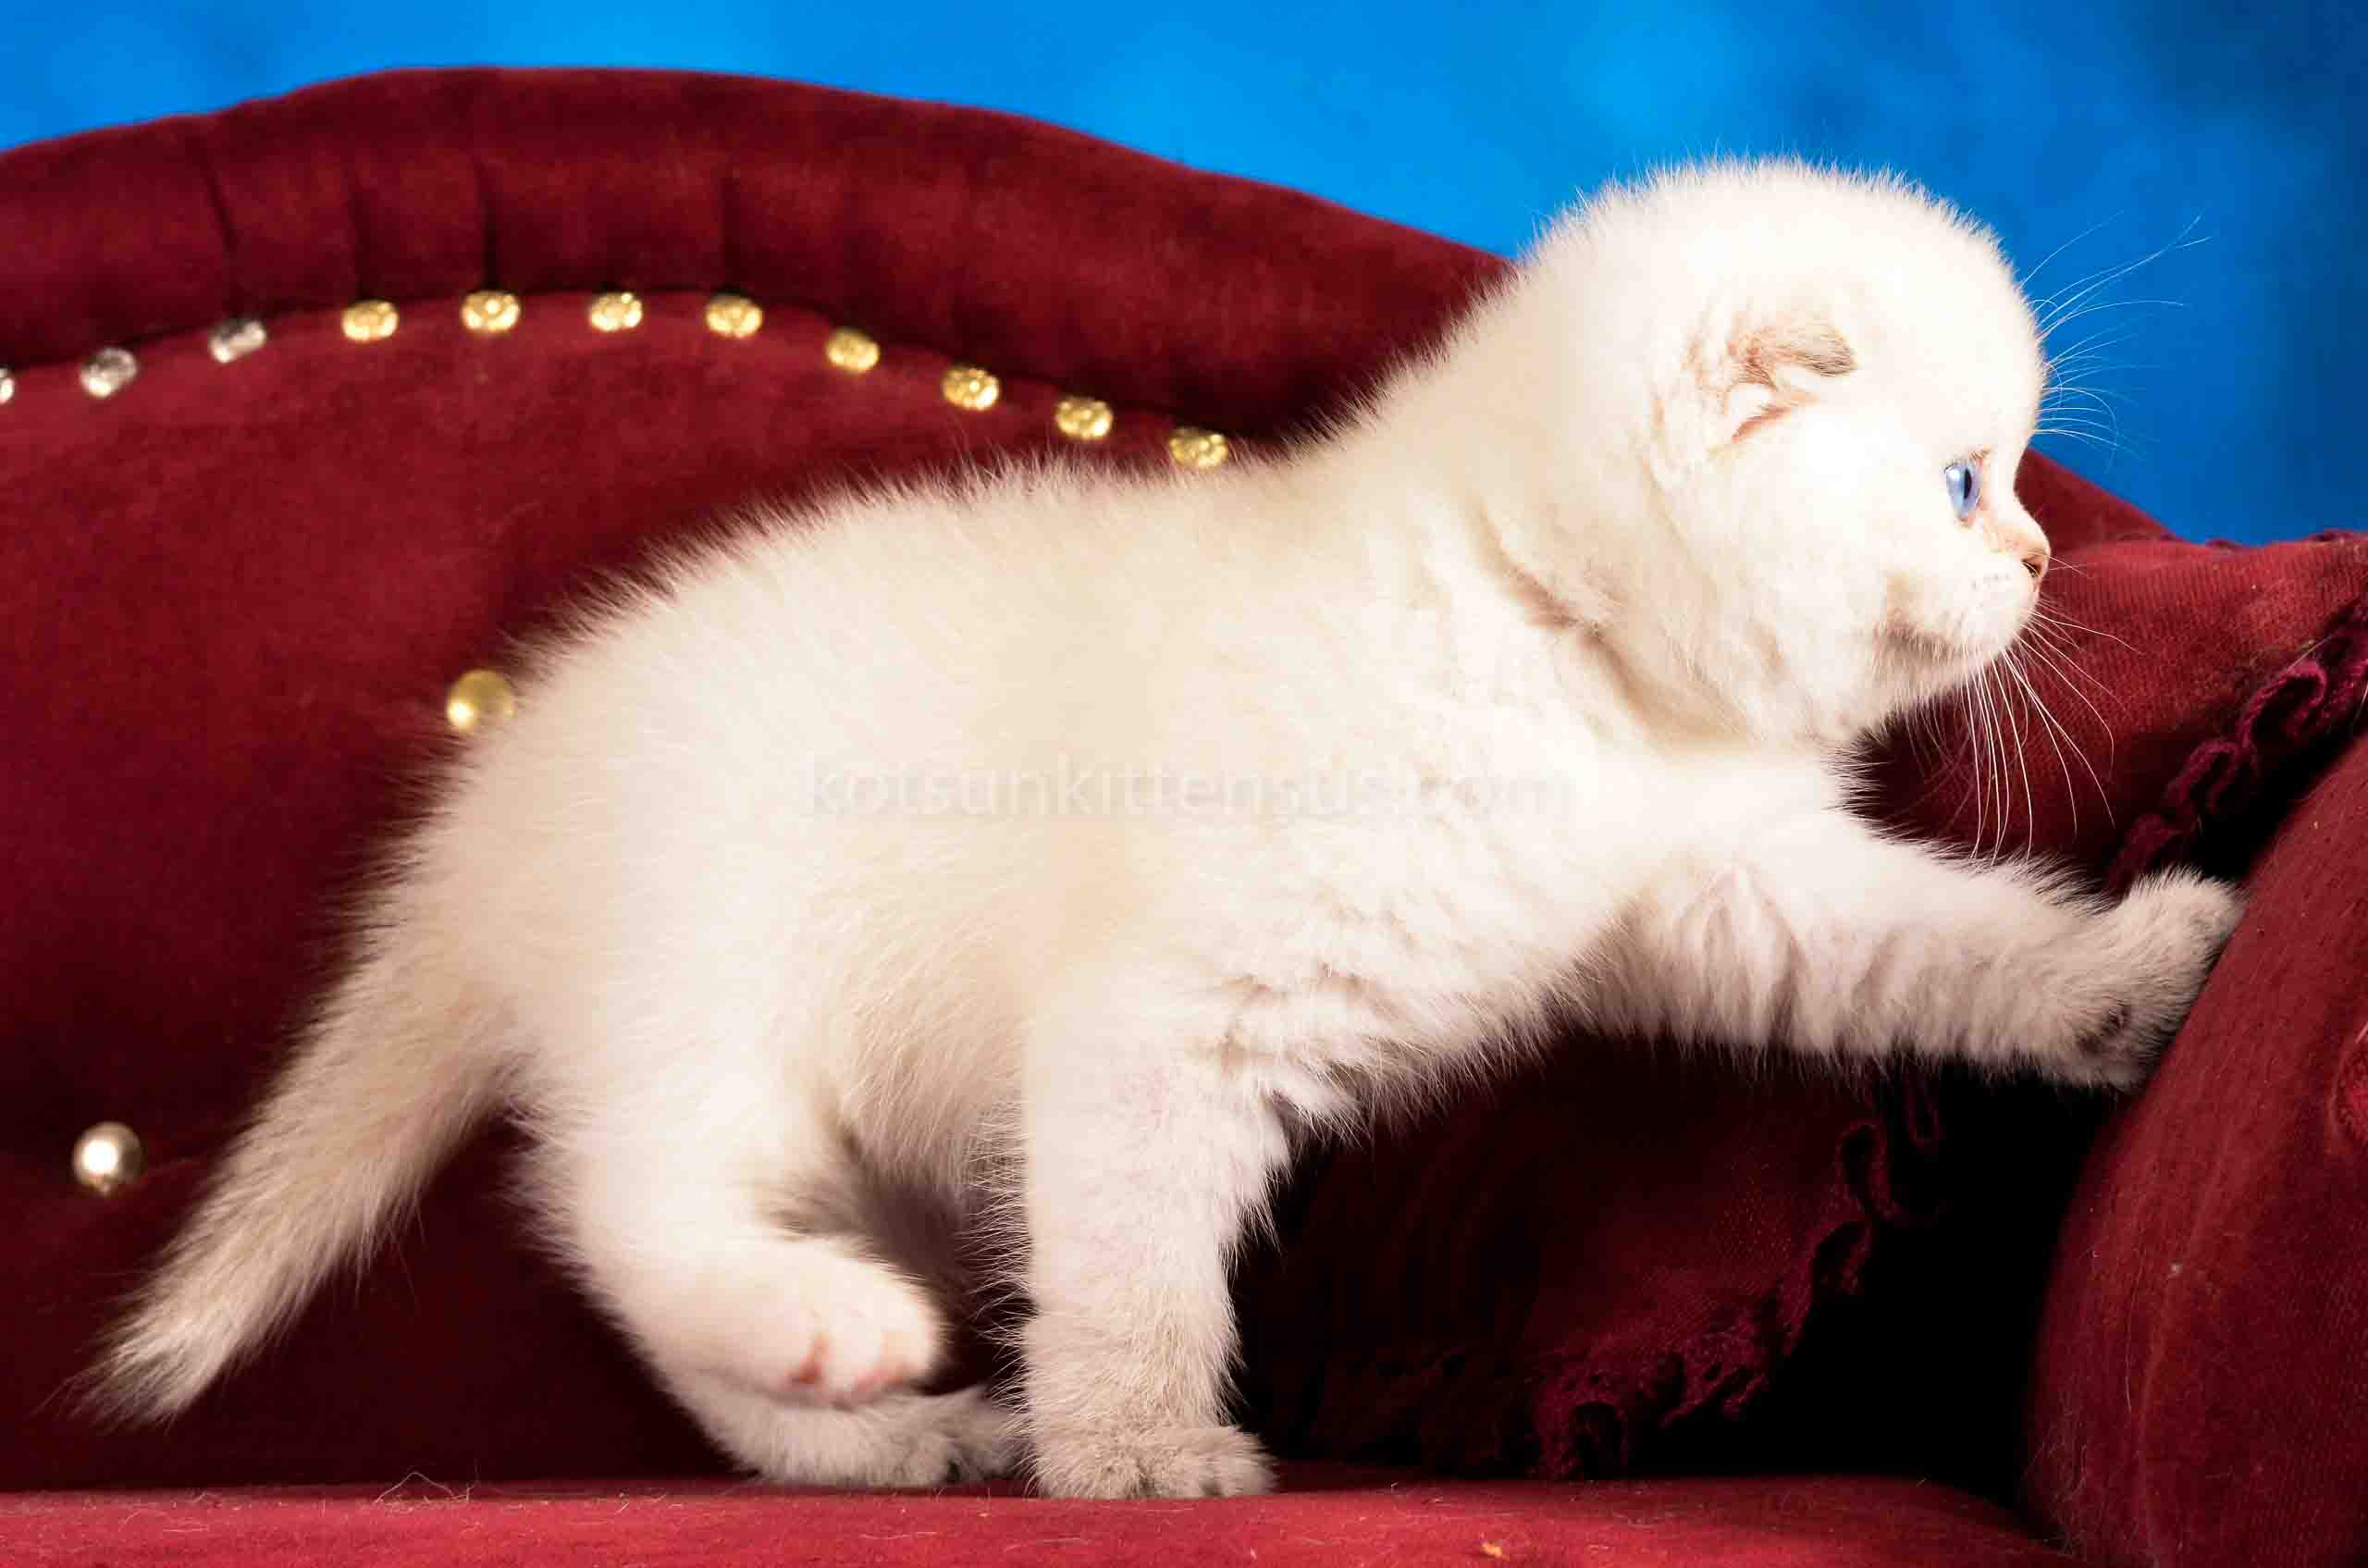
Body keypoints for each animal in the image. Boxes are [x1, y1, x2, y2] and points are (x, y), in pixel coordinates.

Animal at [87, 160, 2242, 1498]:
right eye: (1962, 481)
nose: (2045, 561)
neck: (1548, 637)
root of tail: (495, 806)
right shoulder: (1158, 1019)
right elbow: (1131, 1264)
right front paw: (1131, 1452)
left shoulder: (1726, 884)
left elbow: (1949, 945)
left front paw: (2134, 974)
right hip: (709, 987)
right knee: (624, 1210)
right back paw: (834, 1337)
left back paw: (866, 1428)